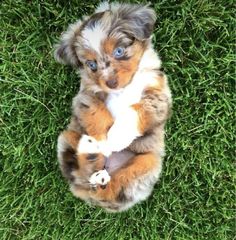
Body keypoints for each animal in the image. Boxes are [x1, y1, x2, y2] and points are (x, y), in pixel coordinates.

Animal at [55, 1, 171, 212]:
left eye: (119, 51)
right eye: (91, 64)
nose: (111, 83)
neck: (123, 89)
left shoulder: (158, 96)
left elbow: (135, 112)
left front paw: (116, 138)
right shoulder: (86, 96)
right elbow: (96, 113)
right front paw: (103, 142)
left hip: (148, 163)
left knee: (110, 190)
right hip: (67, 137)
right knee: (82, 177)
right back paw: (91, 152)